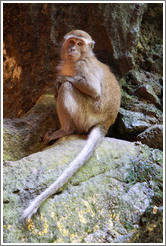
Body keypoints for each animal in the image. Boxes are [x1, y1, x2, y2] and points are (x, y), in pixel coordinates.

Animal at [22, 29, 120, 222]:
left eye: (80, 43)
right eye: (72, 41)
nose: (73, 49)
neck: (76, 60)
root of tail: (104, 123)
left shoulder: (84, 66)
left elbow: (92, 89)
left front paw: (60, 79)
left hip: (87, 115)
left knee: (66, 87)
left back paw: (65, 130)